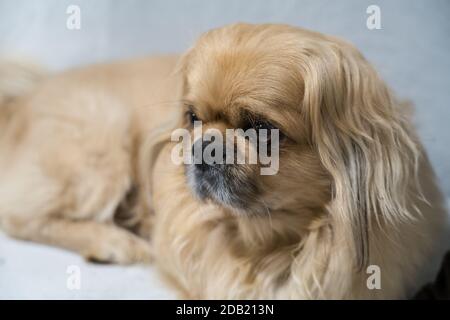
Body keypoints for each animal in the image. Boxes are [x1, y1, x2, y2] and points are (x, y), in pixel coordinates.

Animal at [0, 23, 448, 298]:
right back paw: (112, 242)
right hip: (102, 138)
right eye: (193, 119)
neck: (267, 243)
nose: (204, 144)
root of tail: (20, 102)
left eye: (260, 128)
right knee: (22, 218)